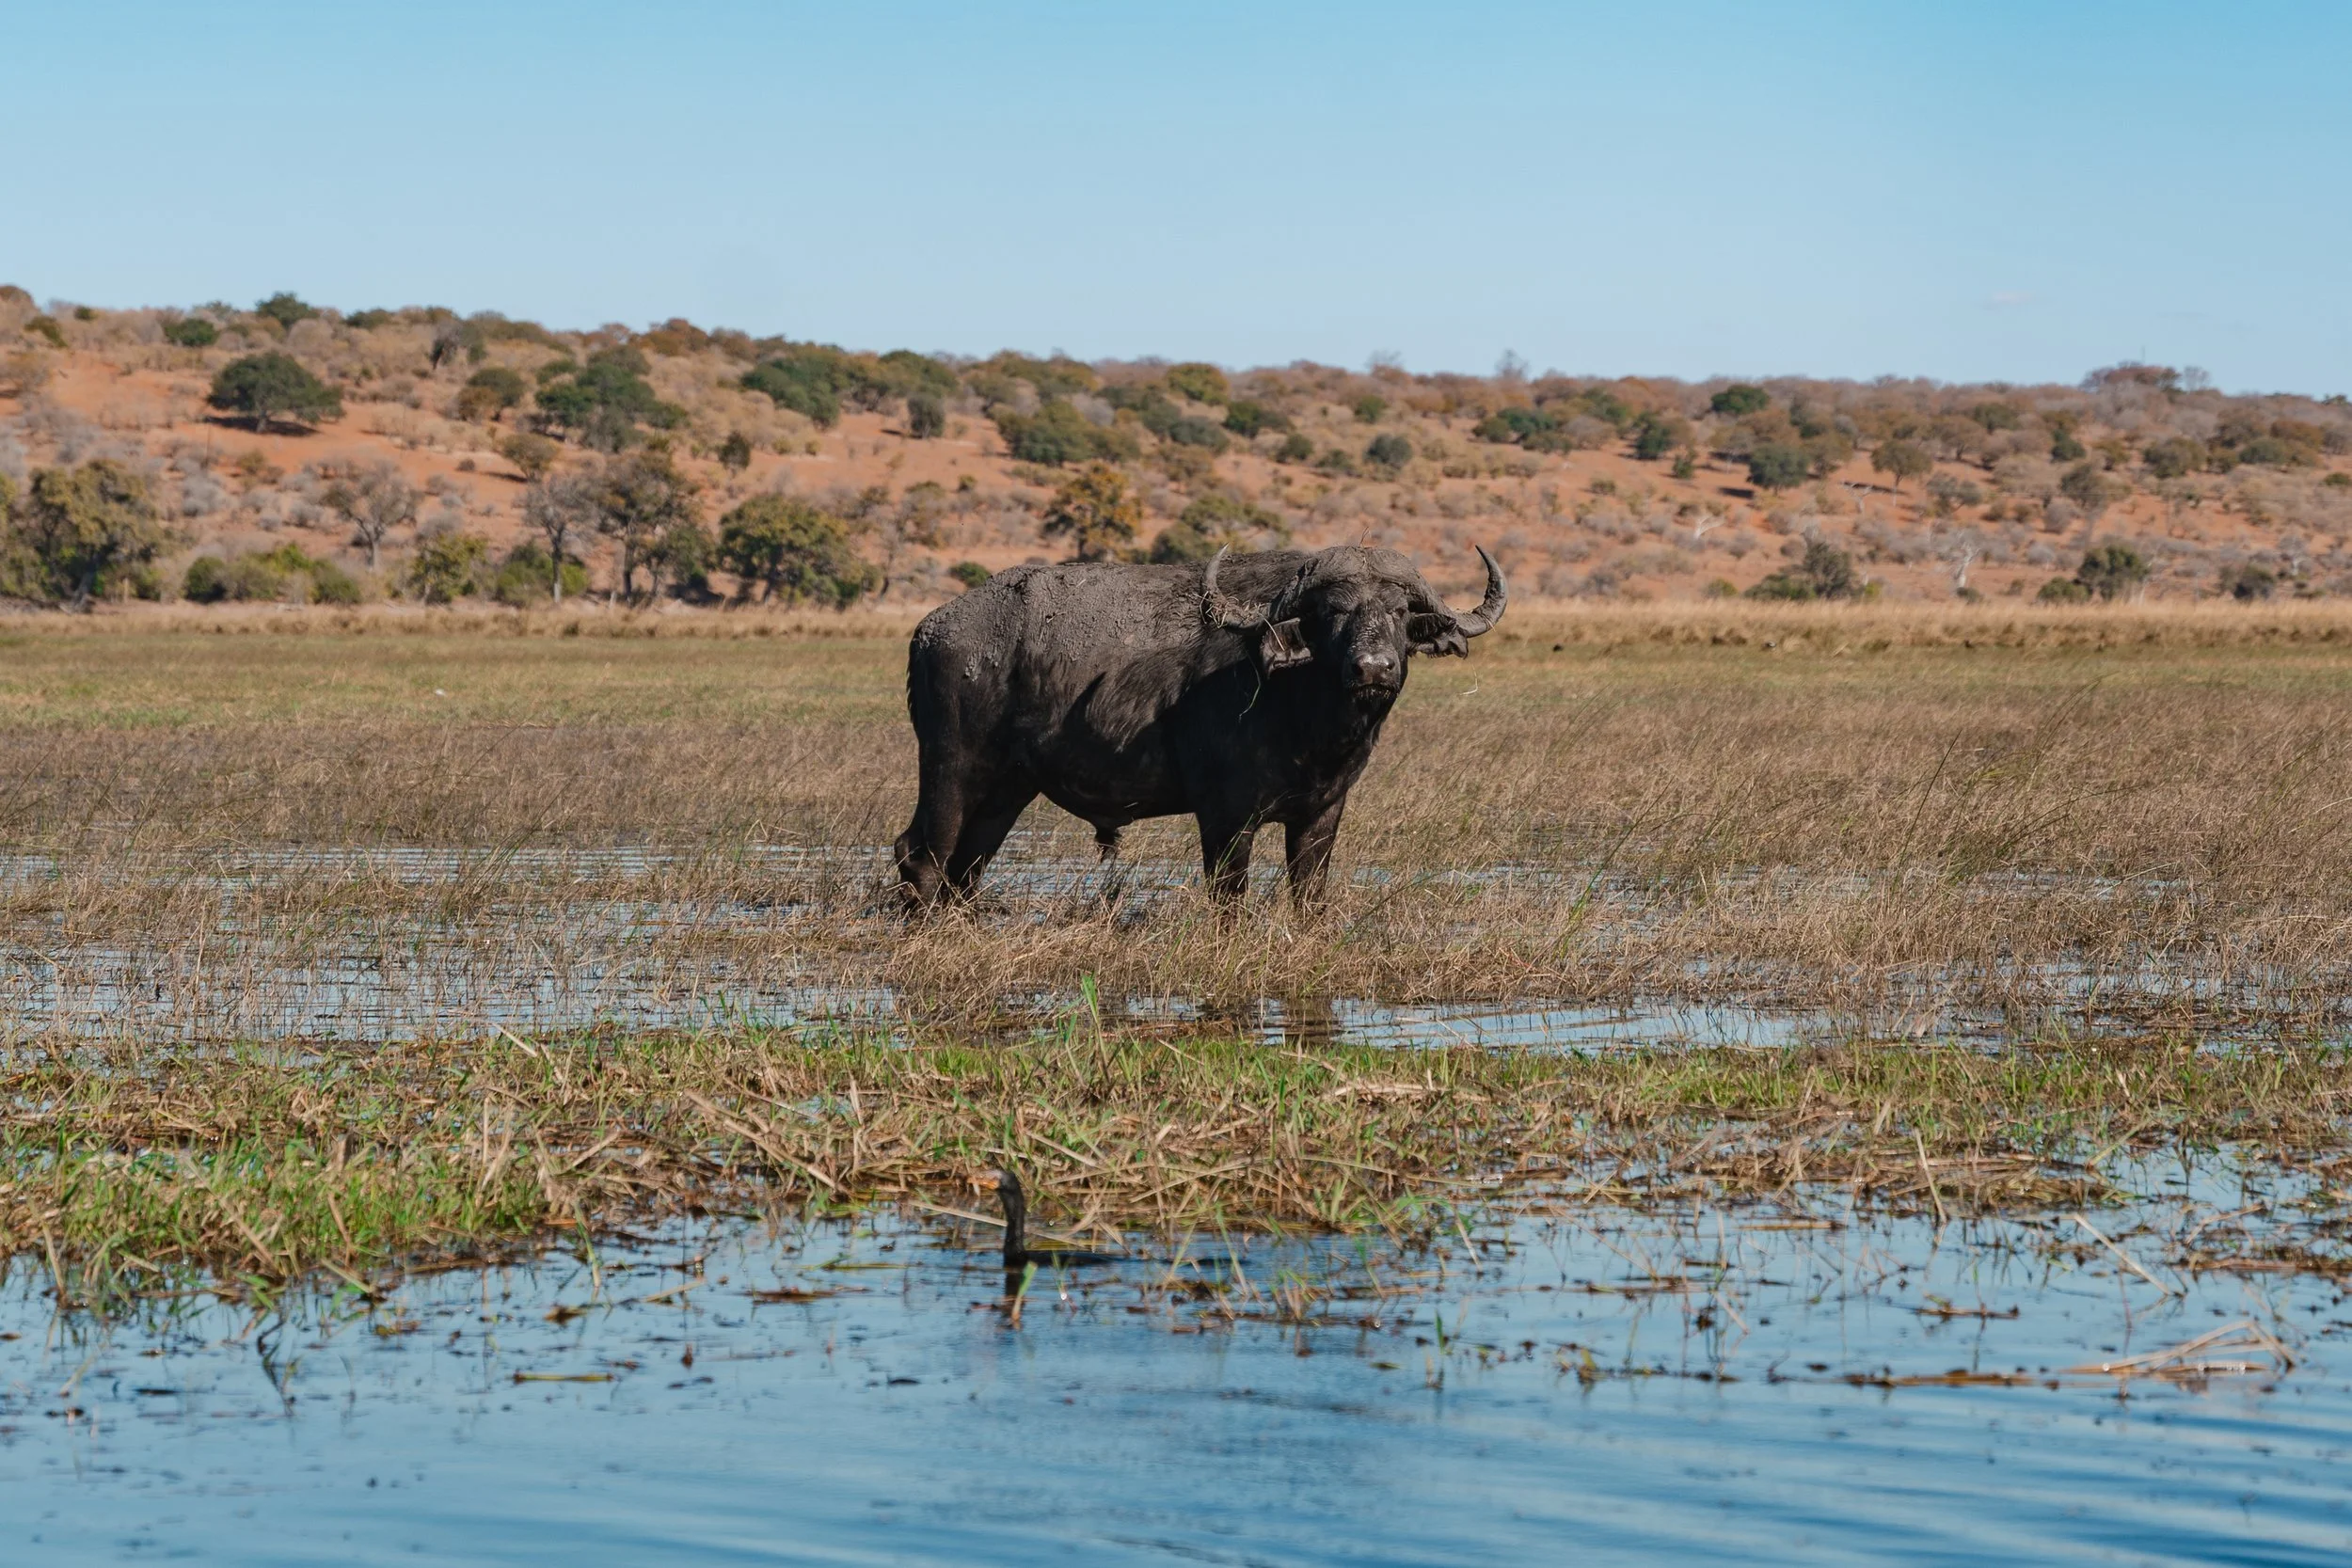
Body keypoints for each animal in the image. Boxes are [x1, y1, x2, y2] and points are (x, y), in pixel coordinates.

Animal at [894, 543, 1505, 909]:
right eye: (1332, 611)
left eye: (1399, 613)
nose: (1373, 668)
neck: (1303, 714)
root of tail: (931, 628)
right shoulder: (1226, 818)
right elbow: (1228, 900)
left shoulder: (1323, 814)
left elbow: (1309, 895)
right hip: (952, 769)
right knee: (921, 855)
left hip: (1008, 790)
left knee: (966, 868)